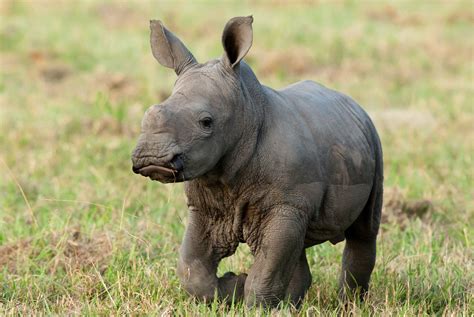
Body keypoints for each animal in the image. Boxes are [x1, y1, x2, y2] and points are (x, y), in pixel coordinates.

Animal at [131, 16, 384, 308]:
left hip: (373, 142)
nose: (151, 158)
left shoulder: (287, 205)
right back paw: (291, 306)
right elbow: (191, 267)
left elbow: (267, 269)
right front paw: (234, 288)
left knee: (363, 232)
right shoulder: (205, 206)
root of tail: (353, 104)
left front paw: (253, 302)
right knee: (297, 246)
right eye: (147, 114)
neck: (247, 113)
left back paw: (350, 304)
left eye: (206, 122)